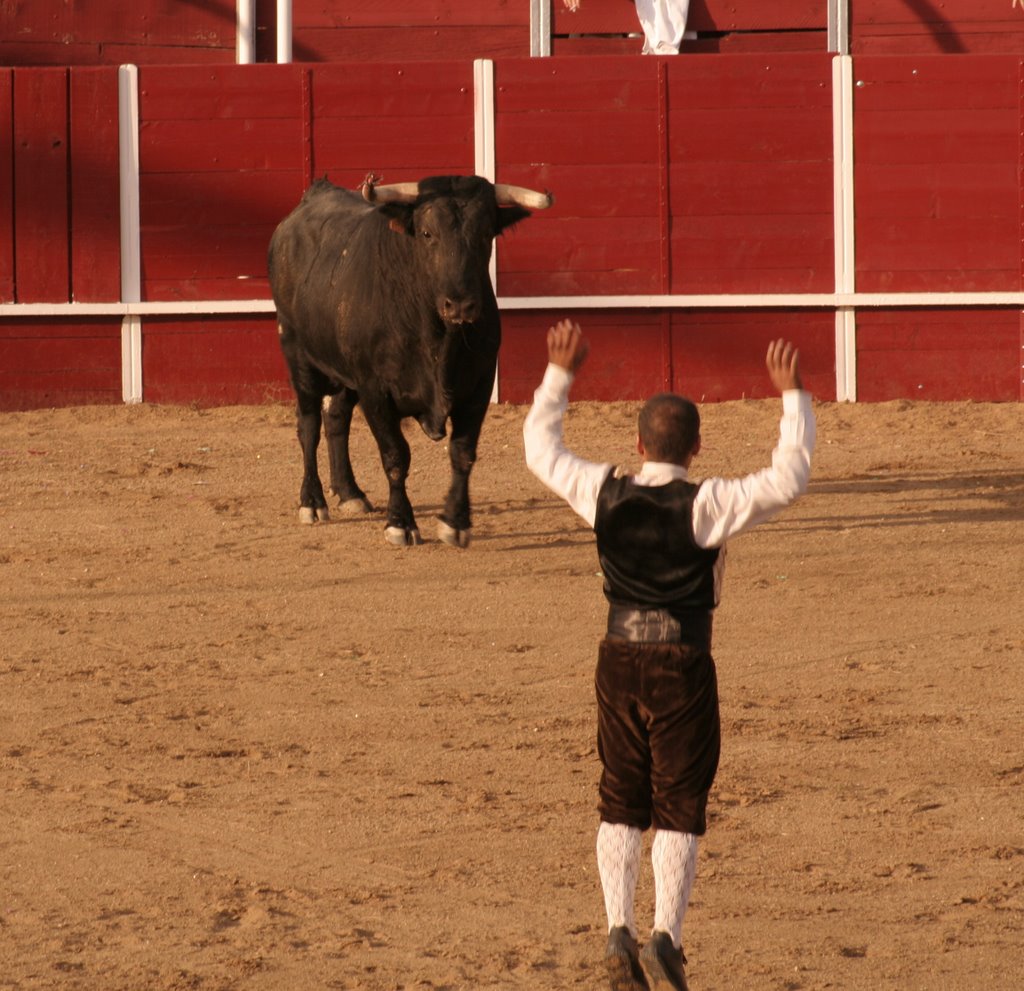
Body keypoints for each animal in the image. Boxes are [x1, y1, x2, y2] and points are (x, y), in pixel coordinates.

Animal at [268, 178, 548, 548]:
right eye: (427, 233)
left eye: (487, 232)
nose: (460, 305)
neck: (438, 338)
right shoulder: (375, 390)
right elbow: (396, 456)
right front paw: (400, 523)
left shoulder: (479, 386)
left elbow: (463, 453)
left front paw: (456, 522)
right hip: (298, 356)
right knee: (309, 426)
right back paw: (313, 502)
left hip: (345, 371)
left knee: (336, 419)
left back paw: (350, 493)